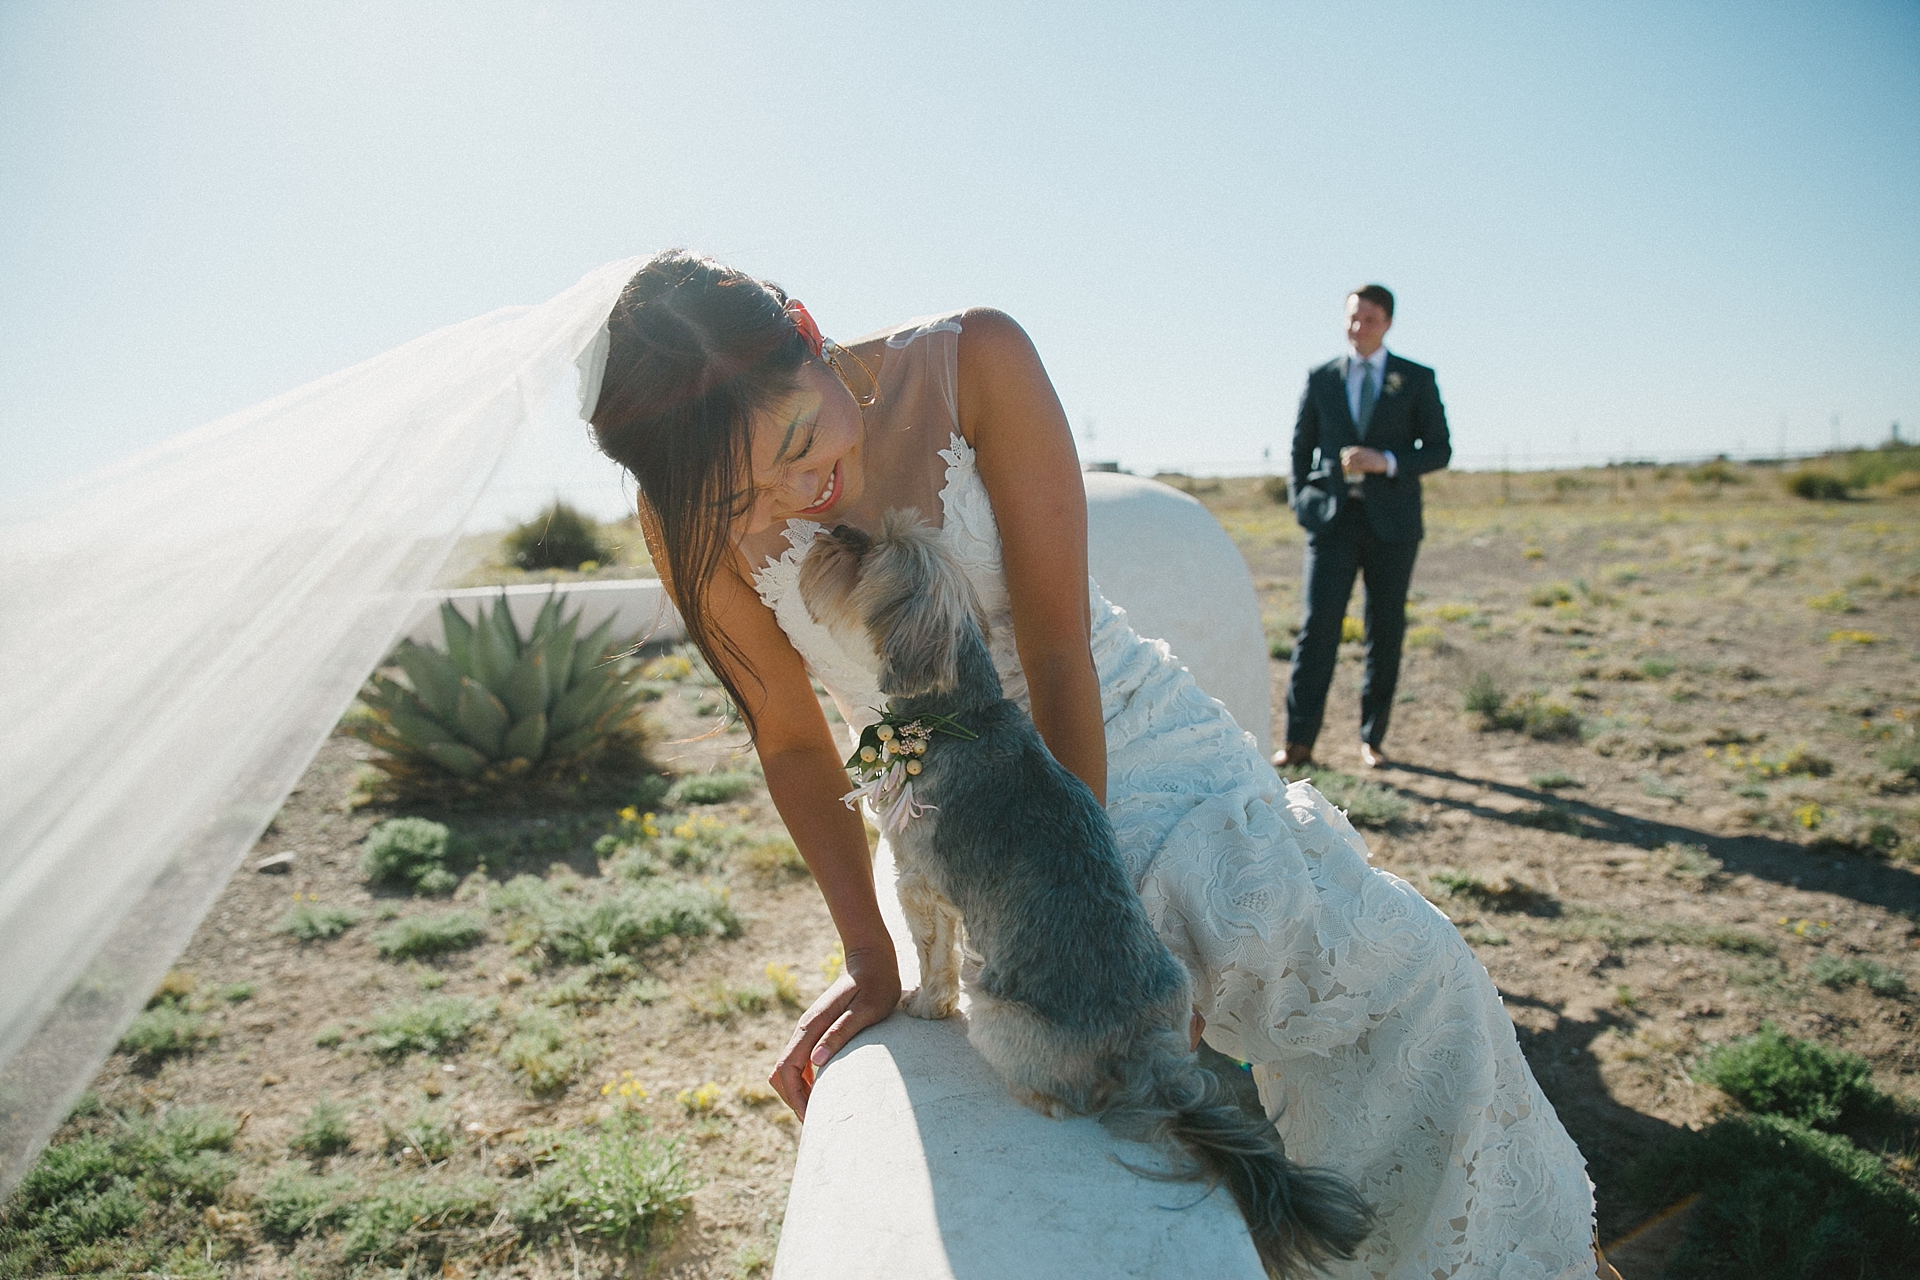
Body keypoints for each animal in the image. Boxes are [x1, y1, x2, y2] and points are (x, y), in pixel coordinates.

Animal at [798, 514, 1382, 1274]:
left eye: (867, 549)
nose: (834, 527)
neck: (961, 712)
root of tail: (1145, 1056)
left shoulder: (918, 884)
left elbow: (932, 956)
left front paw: (925, 1003)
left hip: (999, 1017)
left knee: (1062, 1093)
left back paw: (1034, 1094)